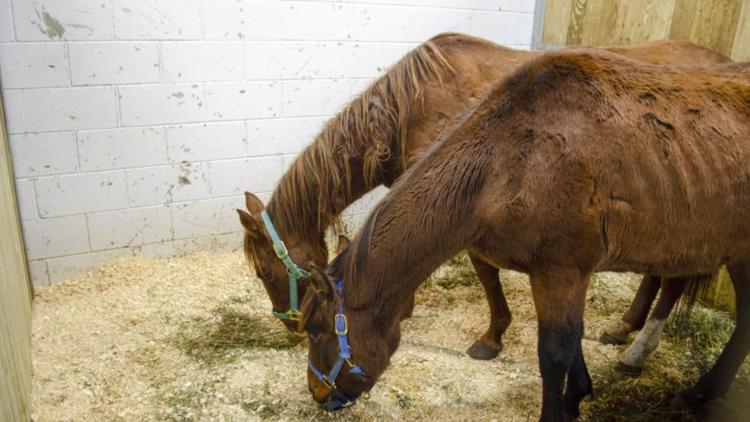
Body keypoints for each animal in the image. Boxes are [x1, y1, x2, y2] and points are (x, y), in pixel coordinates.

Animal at [236, 33, 730, 360]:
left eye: (264, 272)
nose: (291, 324)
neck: (406, 109)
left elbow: (485, 273)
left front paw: (491, 337)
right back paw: (624, 328)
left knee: (674, 280)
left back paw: (636, 352)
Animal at [301, 50, 750, 422]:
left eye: (317, 330)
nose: (318, 394)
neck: (505, 159)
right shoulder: (564, 276)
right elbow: (574, 339)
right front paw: (576, 397)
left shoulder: (561, 271)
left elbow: (554, 355)